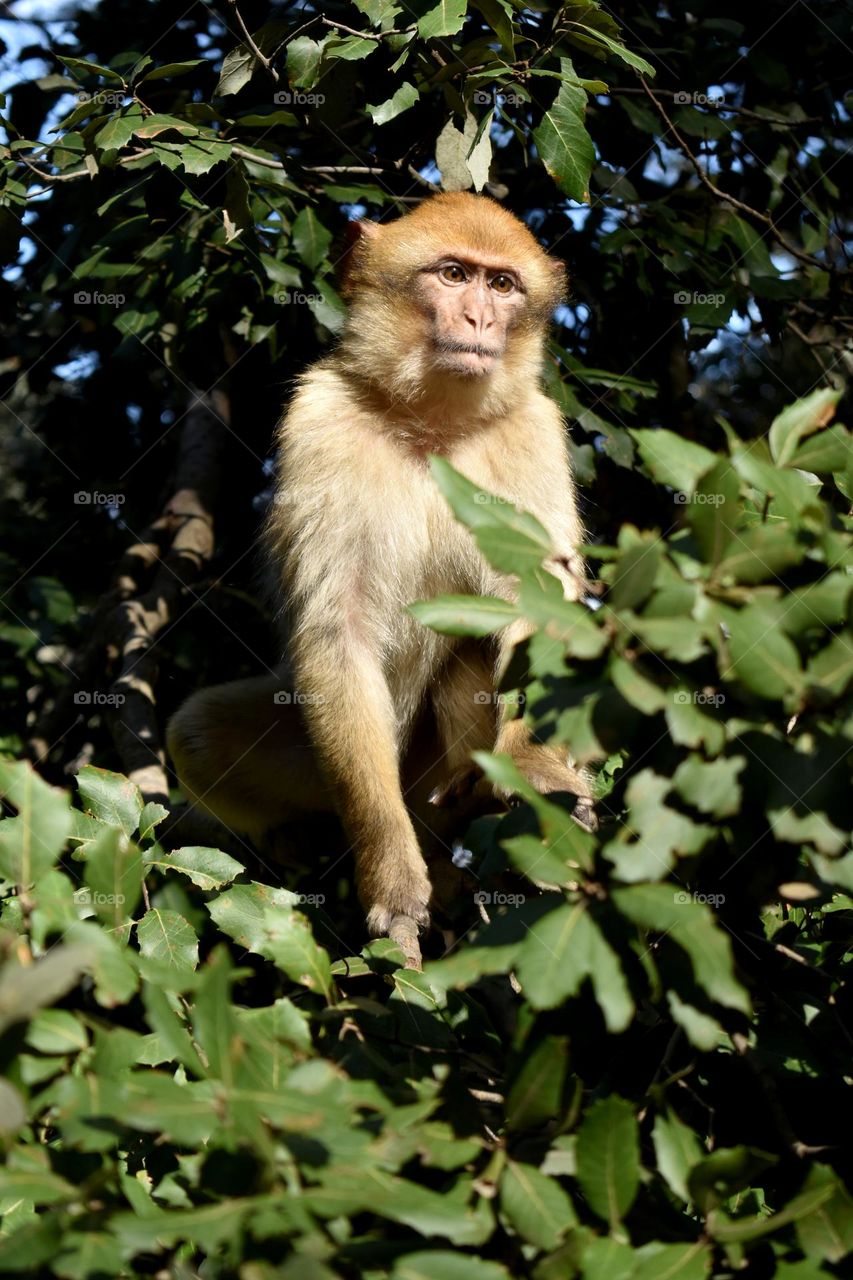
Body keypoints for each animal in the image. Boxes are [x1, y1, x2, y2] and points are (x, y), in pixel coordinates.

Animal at [167, 191, 592, 956]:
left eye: (502, 285)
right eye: (453, 274)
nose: (480, 320)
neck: (434, 425)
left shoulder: (534, 432)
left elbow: (541, 605)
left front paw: (534, 766)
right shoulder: (319, 419)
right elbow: (341, 630)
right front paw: (390, 870)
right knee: (197, 732)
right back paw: (307, 838)